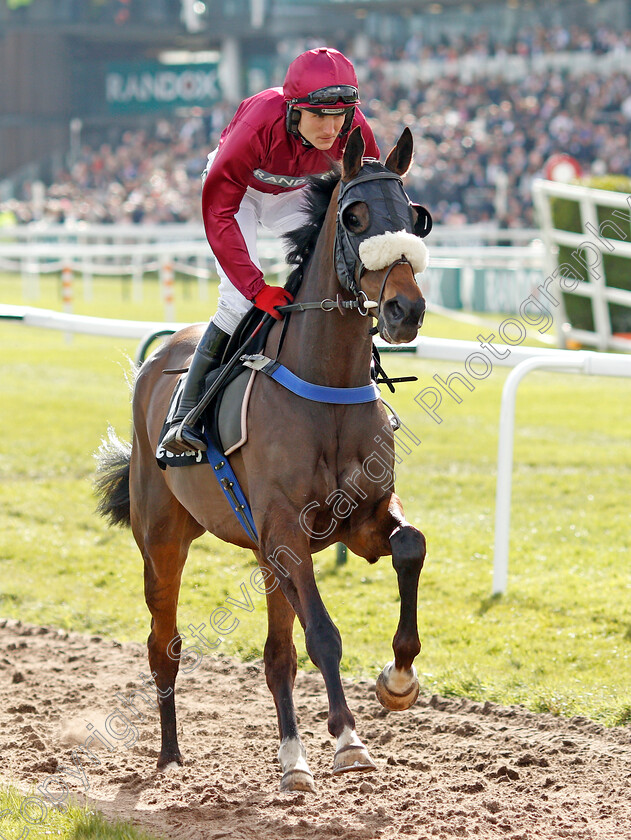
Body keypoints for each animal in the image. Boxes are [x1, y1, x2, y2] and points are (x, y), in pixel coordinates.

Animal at [95, 126, 430, 796]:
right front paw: (349, 740)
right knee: (163, 643)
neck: (325, 383)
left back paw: (291, 759)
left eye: (414, 218)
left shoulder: (358, 522)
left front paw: (399, 678)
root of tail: (156, 361)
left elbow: (410, 545)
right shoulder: (285, 530)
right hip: (164, 539)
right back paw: (169, 756)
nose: (405, 310)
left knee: (278, 656)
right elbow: (323, 632)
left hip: (263, 551)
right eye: (355, 217)